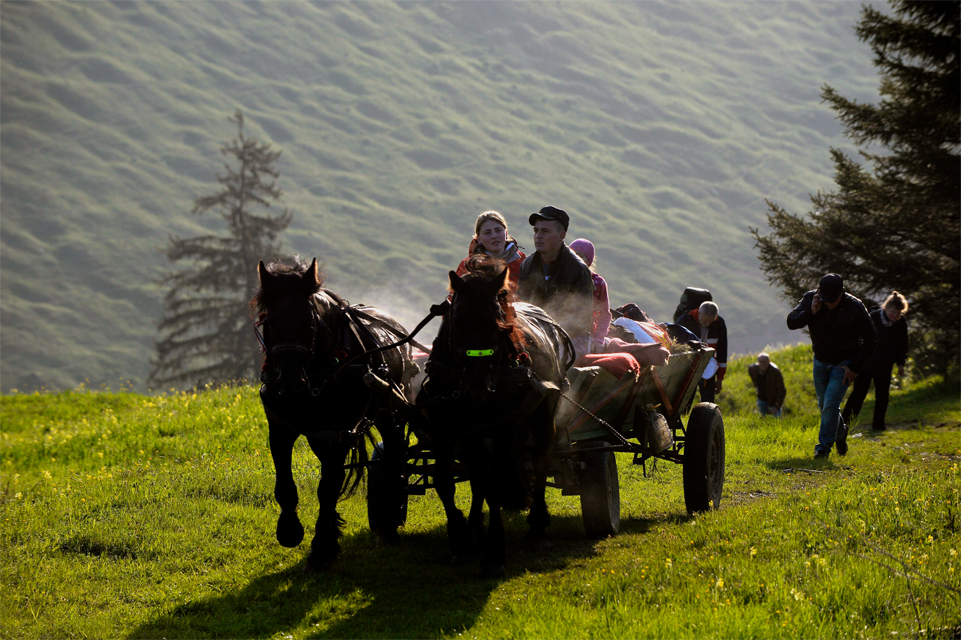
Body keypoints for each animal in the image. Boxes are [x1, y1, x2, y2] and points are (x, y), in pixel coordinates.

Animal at [251, 257, 418, 570]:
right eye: (269, 322)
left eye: (309, 321)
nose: (289, 384)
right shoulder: (281, 429)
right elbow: (285, 485)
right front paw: (291, 531)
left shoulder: (339, 433)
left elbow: (327, 488)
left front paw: (321, 549)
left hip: (389, 413)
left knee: (393, 455)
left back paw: (389, 523)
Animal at [416, 256, 574, 577]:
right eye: (457, 320)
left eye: (498, 324)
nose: (477, 390)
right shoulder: (450, 430)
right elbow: (449, 482)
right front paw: (462, 539)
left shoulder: (503, 427)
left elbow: (495, 486)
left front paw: (494, 553)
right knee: (483, 477)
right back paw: (477, 527)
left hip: (542, 417)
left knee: (540, 462)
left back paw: (537, 528)